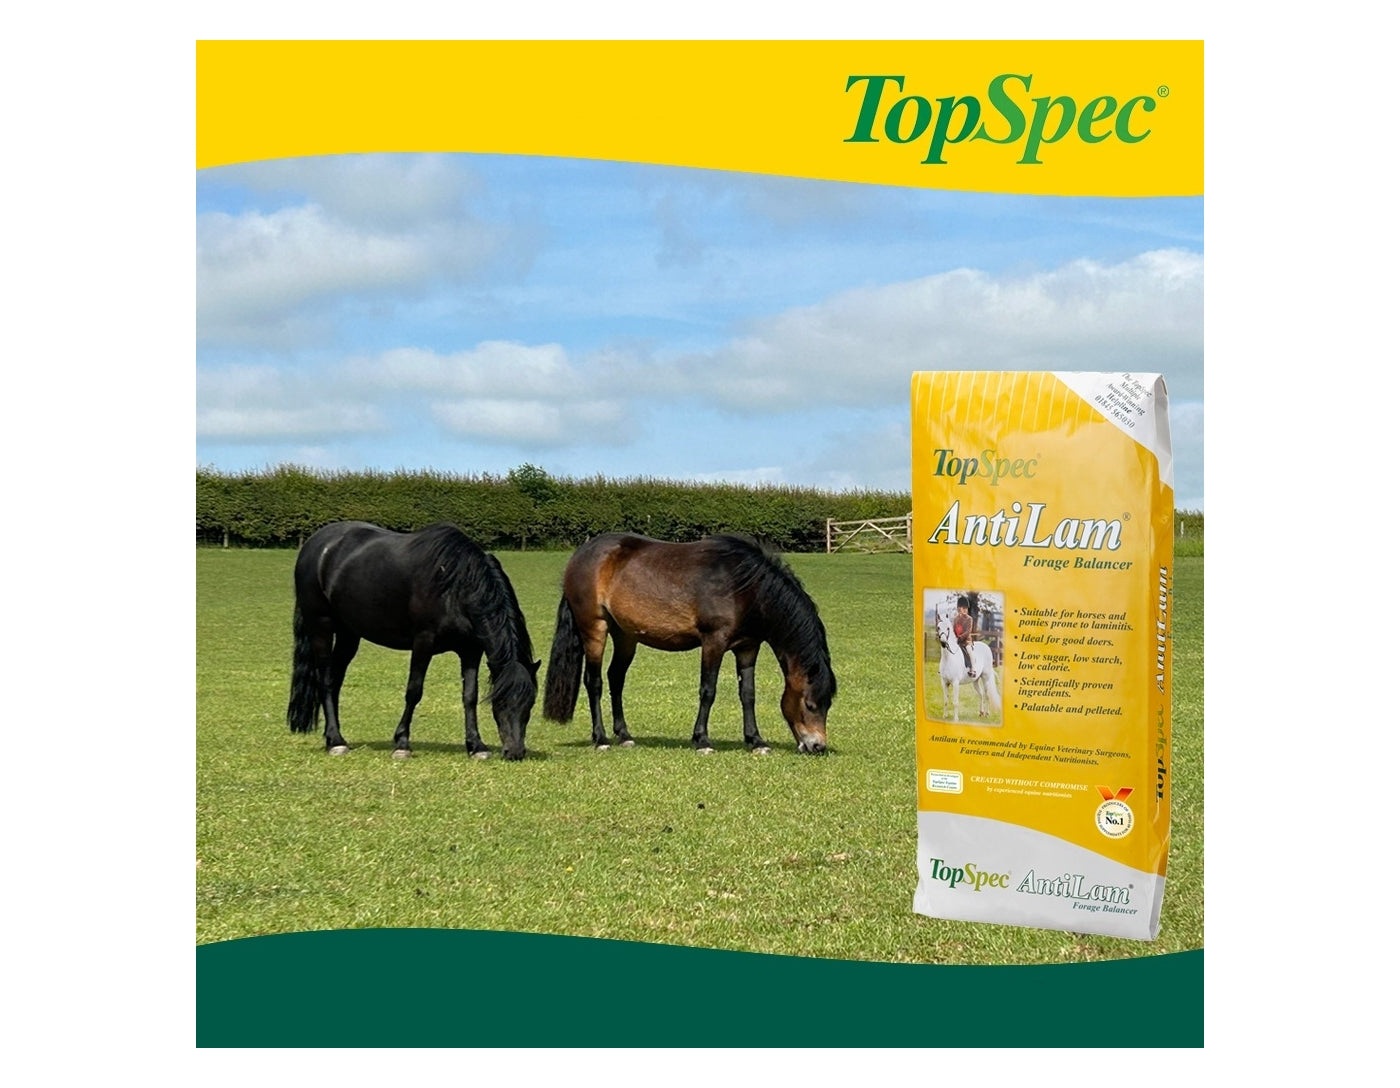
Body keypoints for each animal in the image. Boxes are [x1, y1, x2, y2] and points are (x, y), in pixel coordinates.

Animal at [286, 521, 540, 761]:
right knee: (325, 680)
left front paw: (476, 746)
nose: (515, 752)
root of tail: (315, 544)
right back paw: (336, 742)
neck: (456, 585)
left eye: (530, 704)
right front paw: (402, 744)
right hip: (321, 626)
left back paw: (334, 737)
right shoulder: (423, 642)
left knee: (335, 680)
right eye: (501, 702)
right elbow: (414, 691)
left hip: (349, 634)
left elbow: (470, 696)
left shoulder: (470, 651)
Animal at [542, 532, 836, 754]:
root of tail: (581, 554)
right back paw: (601, 739)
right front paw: (702, 740)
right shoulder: (713, 642)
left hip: (625, 635)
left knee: (616, 679)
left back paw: (624, 735)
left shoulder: (747, 648)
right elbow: (708, 690)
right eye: (810, 704)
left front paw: (756, 741)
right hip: (595, 629)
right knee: (594, 682)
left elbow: (748, 694)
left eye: (828, 705)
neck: (744, 586)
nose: (817, 746)